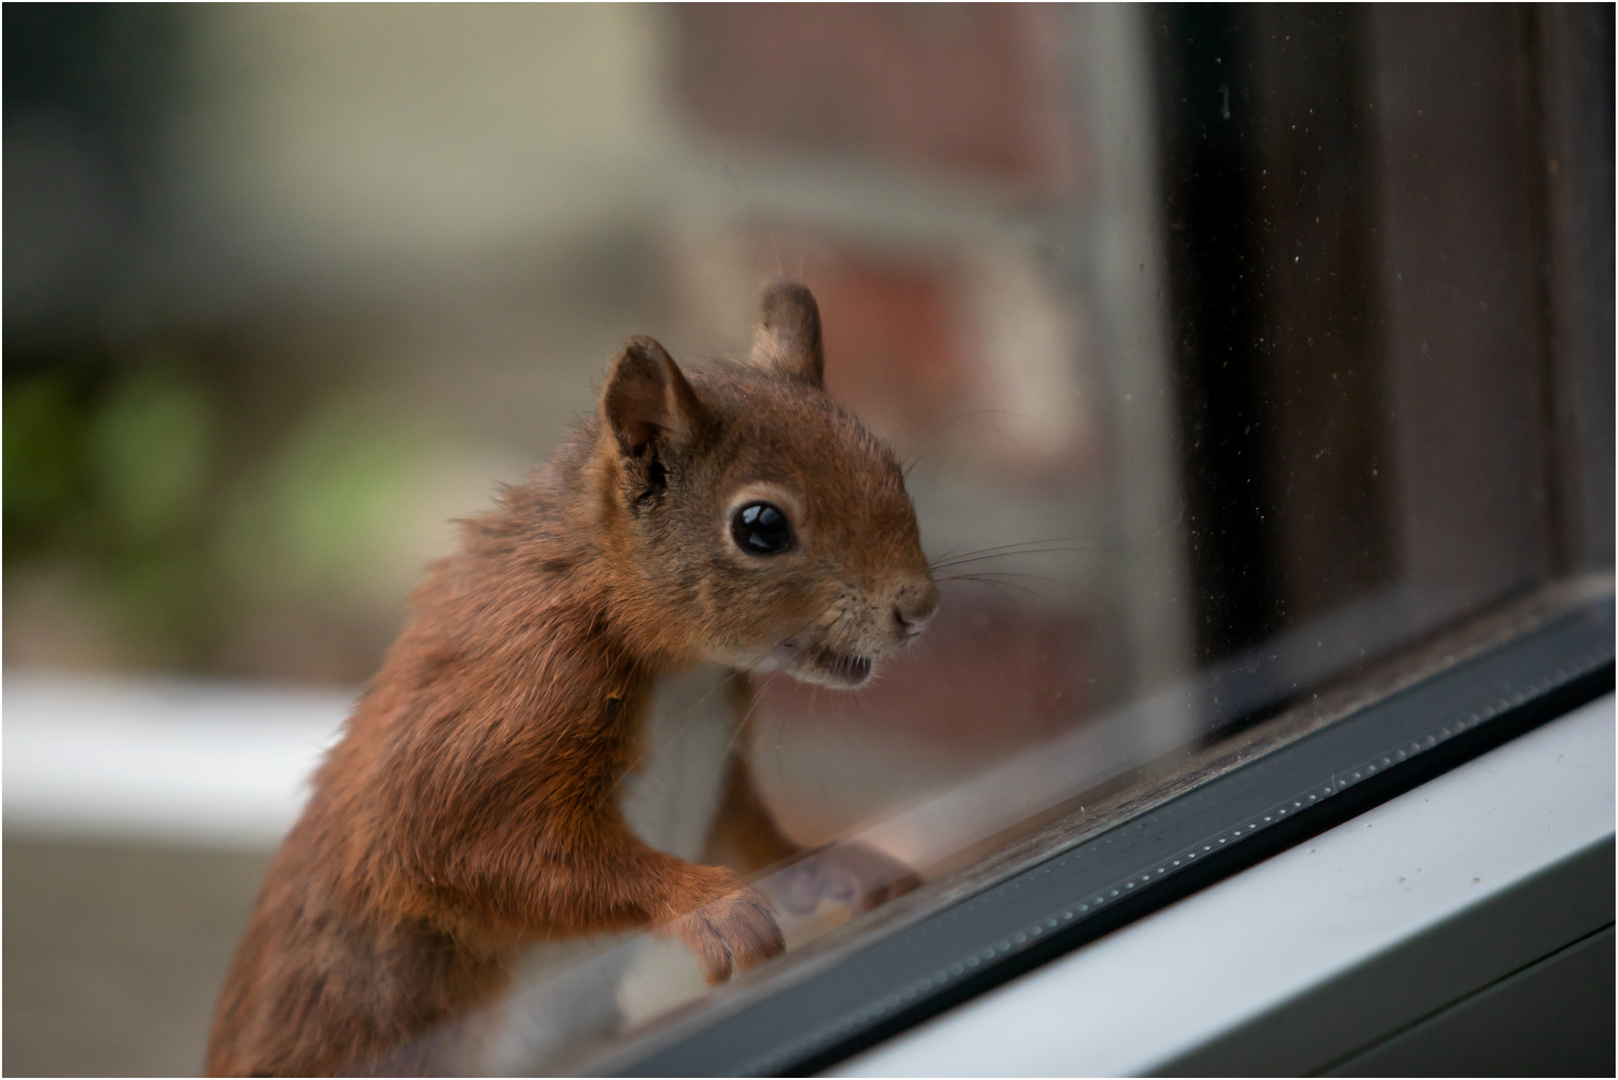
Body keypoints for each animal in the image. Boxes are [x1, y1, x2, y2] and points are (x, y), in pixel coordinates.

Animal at [205, 283, 938, 1075]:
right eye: (761, 526)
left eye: (887, 463)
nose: (919, 607)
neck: (683, 670)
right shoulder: (513, 699)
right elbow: (480, 849)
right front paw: (709, 906)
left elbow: (745, 832)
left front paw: (827, 865)